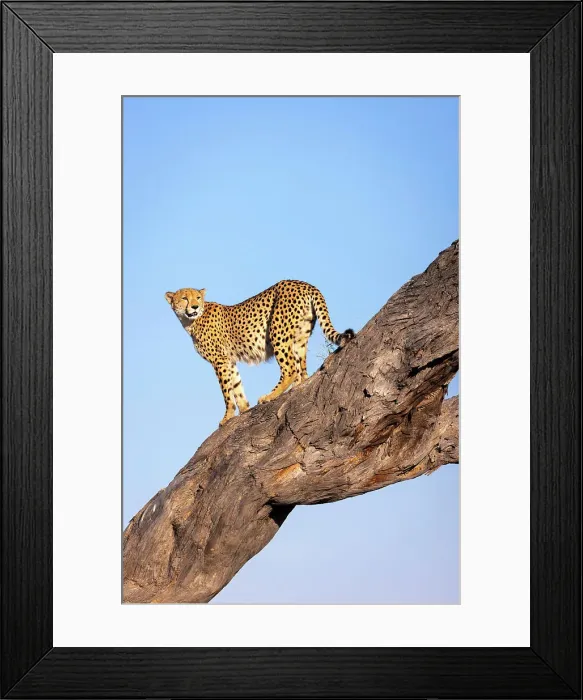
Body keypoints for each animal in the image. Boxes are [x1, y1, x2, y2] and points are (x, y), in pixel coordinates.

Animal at [165, 280, 355, 426]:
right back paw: (296, 387)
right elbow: (237, 386)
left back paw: (269, 396)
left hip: (277, 332)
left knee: (290, 369)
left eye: (197, 297)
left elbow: (226, 392)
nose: (195, 306)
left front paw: (227, 418)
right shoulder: (230, 361)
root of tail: (305, 284)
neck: (190, 322)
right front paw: (244, 410)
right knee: (301, 370)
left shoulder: (220, 361)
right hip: (300, 337)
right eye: (184, 298)